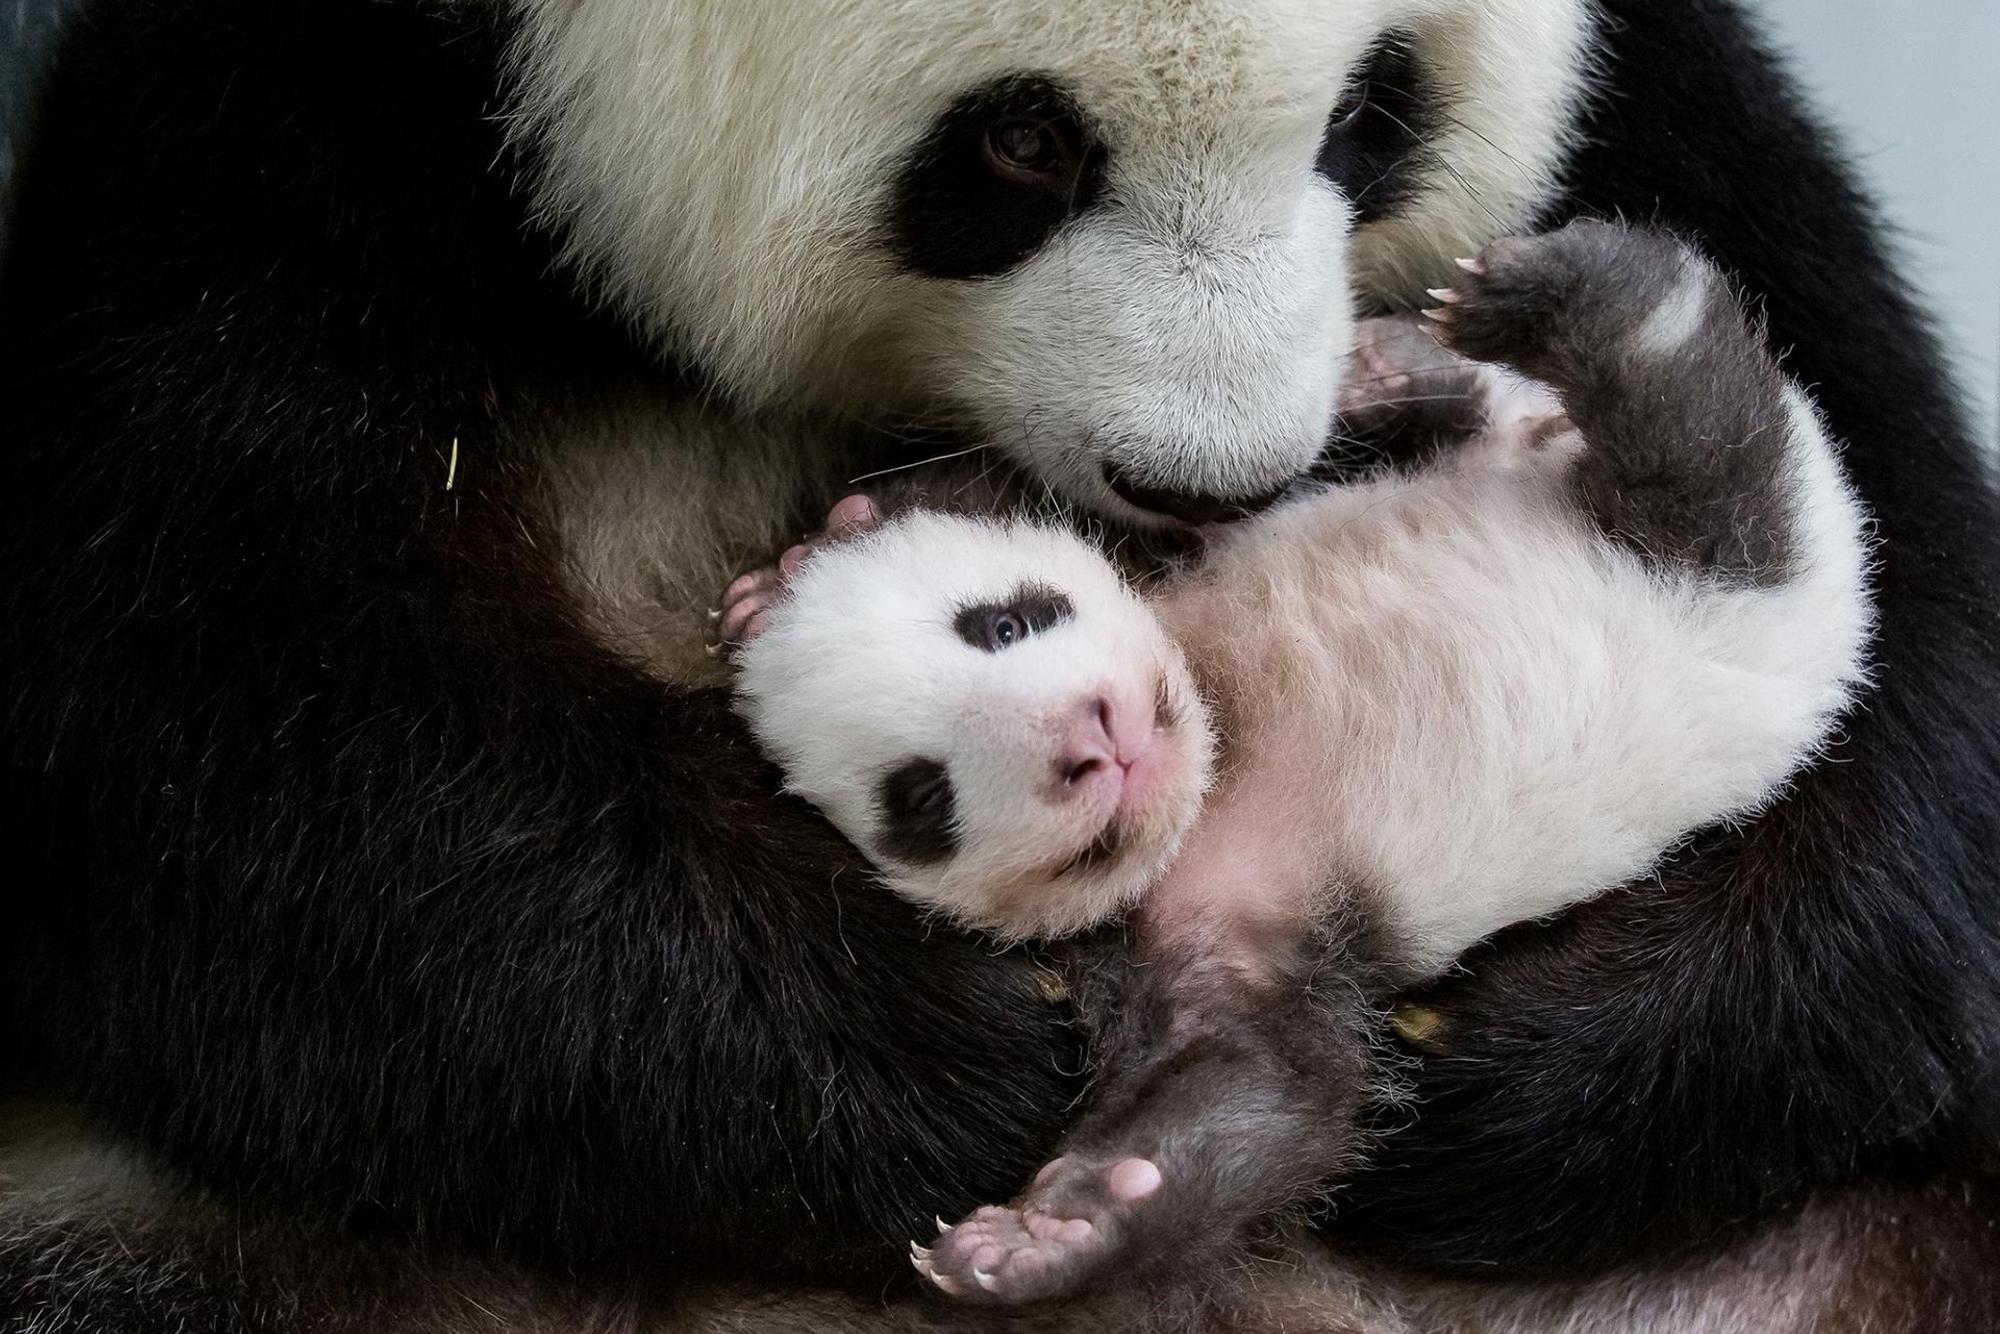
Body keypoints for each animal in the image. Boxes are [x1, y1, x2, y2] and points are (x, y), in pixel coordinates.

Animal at [726, 220, 1876, 1306]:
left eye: (1002, 623)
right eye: (922, 798)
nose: (1092, 736)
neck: (1221, 739)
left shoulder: (1166, 555)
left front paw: (793, 568)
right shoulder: (1209, 921)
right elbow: (1266, 1078)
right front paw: (1057, 1229)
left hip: (1708, 557)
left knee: (1684, 414)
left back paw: (1502, 312)